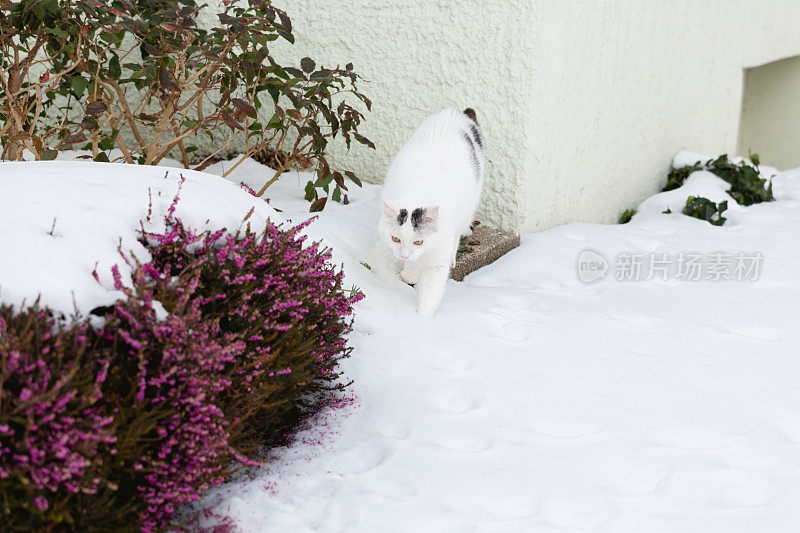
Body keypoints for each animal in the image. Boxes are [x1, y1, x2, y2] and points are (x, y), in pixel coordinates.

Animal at [378, 107, 484, 316]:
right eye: (395, 239)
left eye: (419, 241)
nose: (404, 255)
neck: (416, 193)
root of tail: (457, 113)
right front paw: (410, 272)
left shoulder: (436, 260)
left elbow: (430, 293)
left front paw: (423, 319)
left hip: (467, 209)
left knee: (457, 234)